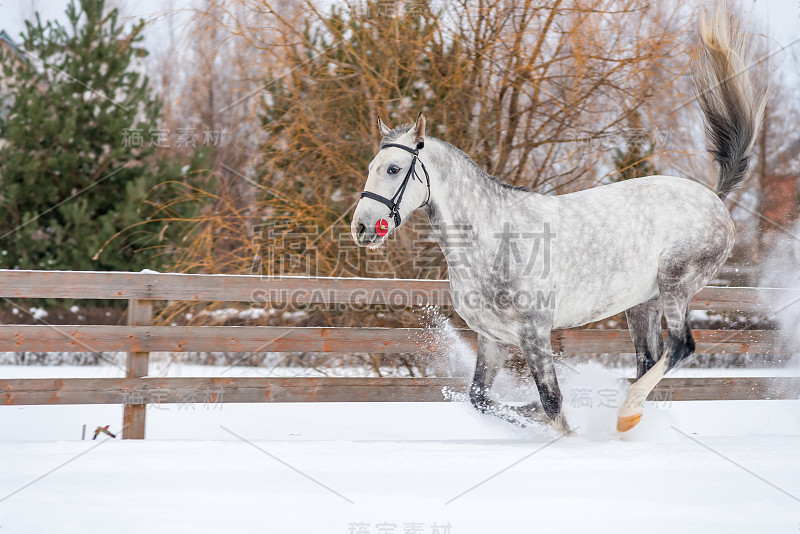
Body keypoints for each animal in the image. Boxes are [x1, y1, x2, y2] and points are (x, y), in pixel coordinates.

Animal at [350, 1, 768, 436]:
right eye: (371, 167)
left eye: (393, 169)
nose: (361, 227)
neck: (492, 240)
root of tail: (713, 197)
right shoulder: (493, 338)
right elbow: (483, 399)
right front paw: (533, 414)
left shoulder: (533, 332)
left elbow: (552, 402)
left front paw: (565, 432)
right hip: (643, 304)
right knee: (649, 360)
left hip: (676, 283)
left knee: (681, 346)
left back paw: (625, 413)